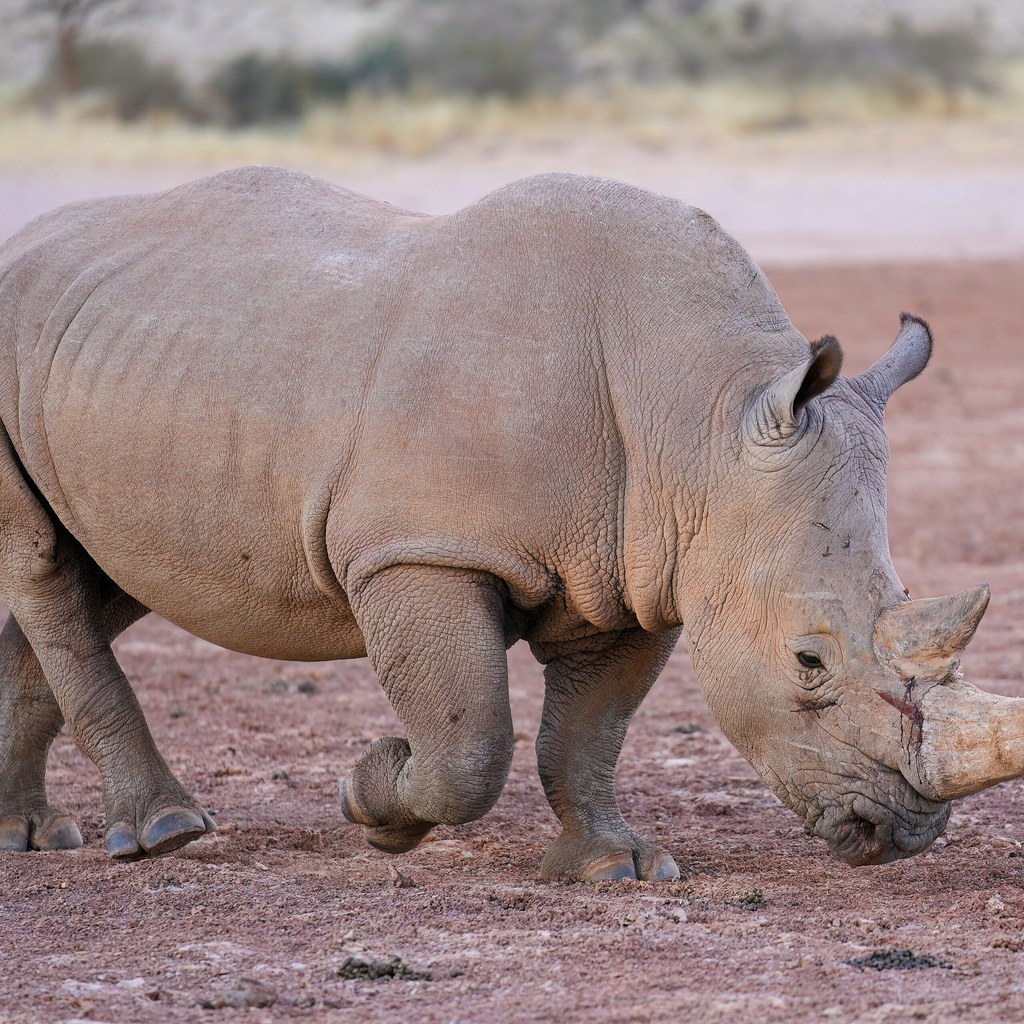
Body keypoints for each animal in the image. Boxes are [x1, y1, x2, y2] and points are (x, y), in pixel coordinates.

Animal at [0, 166, 1016, 881]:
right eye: (808, 662)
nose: (902, 832)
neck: (699, 421)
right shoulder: (420, 552)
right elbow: (468, 743)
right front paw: (373, 799)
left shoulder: (641, 571)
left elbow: (588, 734)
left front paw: (616, 866)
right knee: (46, 567)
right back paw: (164, 832)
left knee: (106, 575)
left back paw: (31, 834)